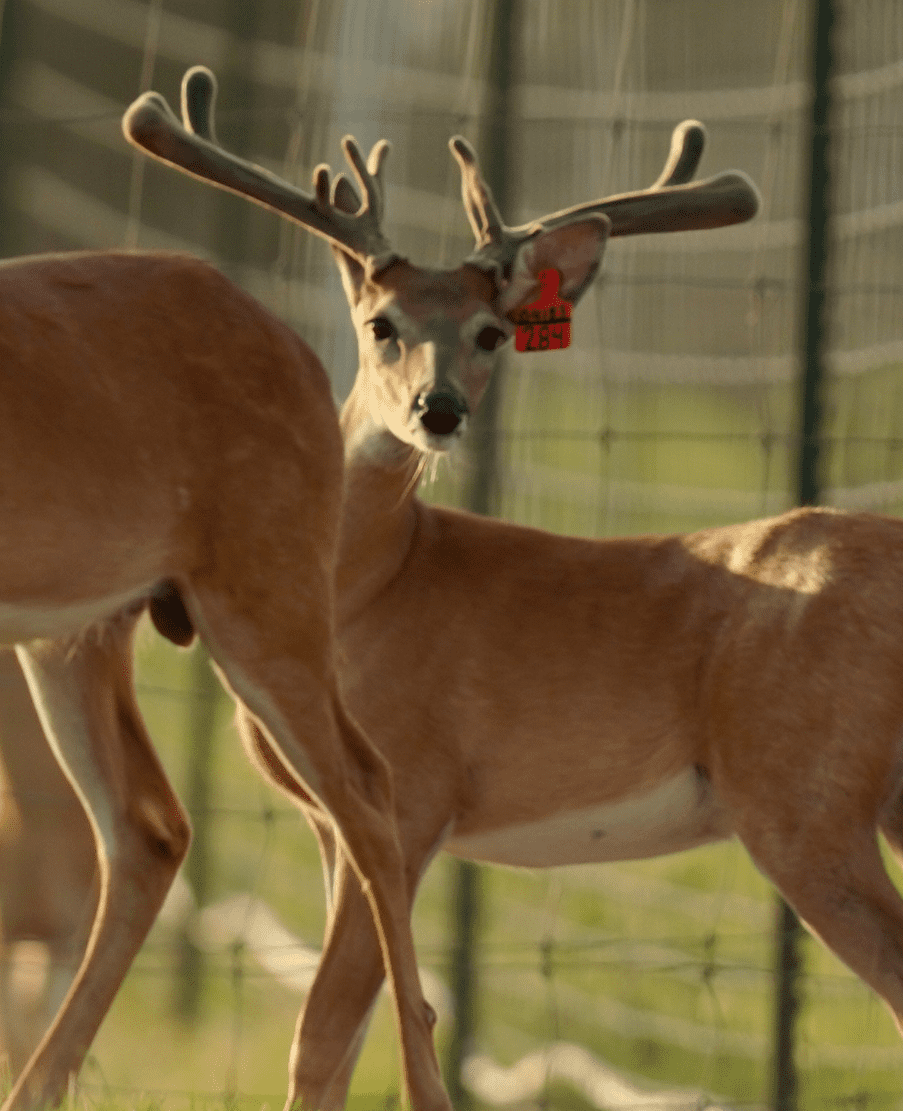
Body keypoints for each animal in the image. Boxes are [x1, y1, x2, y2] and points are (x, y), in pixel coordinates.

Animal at [0, 163, 454, 1110]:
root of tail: (302, 353)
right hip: (77, 629)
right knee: (146, 825)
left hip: (266, 586)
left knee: (366, 790)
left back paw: (421, 1080)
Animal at [119, 67, 778, 1109]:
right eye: (379, 324)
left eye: (493, 333)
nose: (440, 409)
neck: (374, 589)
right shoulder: (329, 819)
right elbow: (347, 1034)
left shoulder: (418, 786)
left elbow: (326, 1034)